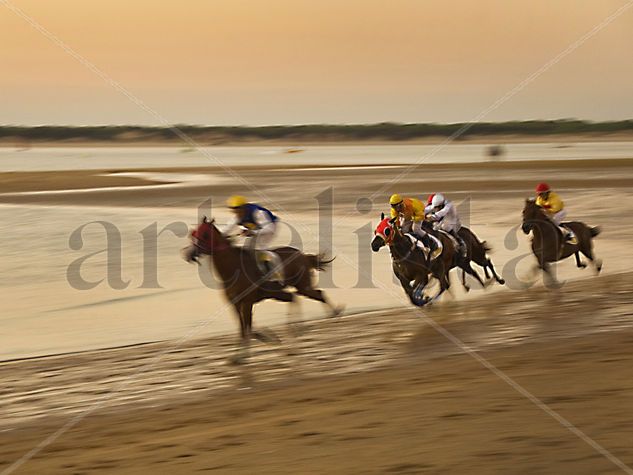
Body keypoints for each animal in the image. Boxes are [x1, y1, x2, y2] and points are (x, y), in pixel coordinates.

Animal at [181, 218, 340, 362]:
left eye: (205, 234)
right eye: (193, 233)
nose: (189, 254)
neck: (234, 269)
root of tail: (303, 255)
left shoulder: (247, 302)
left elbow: (247, 327)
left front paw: (244, 354)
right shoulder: (235, 303)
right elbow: (242, 327)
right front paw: (239, 355)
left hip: (301, 286)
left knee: (317, 294)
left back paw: (333, 312)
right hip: (280, 292)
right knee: (294, 298)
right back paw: (298, 330)